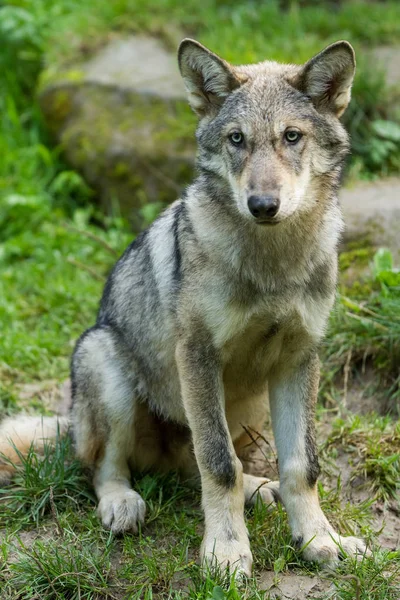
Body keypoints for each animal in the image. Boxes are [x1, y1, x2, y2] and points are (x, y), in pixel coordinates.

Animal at [0, 38, 368, 576]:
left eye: (291, 136)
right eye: (237, 139)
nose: (263, 204)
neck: (272, 265)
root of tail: (69, 423)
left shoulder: (300, 357)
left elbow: (302, 465)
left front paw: (321, 539)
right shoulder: (197, 354)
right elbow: (218, 463)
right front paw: (227, 552)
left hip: (249, 408)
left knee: (196, 466)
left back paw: (260, 489)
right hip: (106, 366)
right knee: (108, 468)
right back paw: (122, 504)